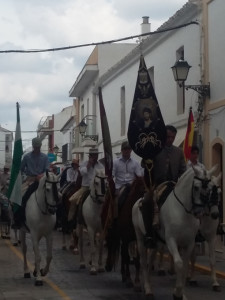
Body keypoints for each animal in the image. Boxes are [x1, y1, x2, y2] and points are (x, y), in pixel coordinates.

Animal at [133, 166, 217, 300]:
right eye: (196, 187)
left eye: (210, 188)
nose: (199, 212)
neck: (183, 212)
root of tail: (138, 202)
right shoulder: (171, 240)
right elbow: (179, 263)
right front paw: (177, 293)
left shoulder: (189, 243)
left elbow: (185, 266)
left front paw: (182, 293)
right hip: (140, 238)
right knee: (143, 261)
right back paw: (147, 289)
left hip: (156, 243)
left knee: (150, 260)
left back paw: (150, 284)